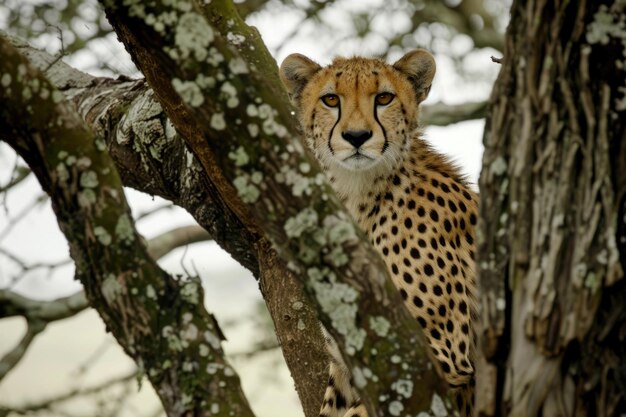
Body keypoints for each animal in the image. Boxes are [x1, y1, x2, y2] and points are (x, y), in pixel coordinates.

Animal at [280, 49, 478, 416]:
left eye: (384, 98)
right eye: (331, 99)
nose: (357, 137)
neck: (359, 192)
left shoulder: (439, 362)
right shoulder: (347, 365)